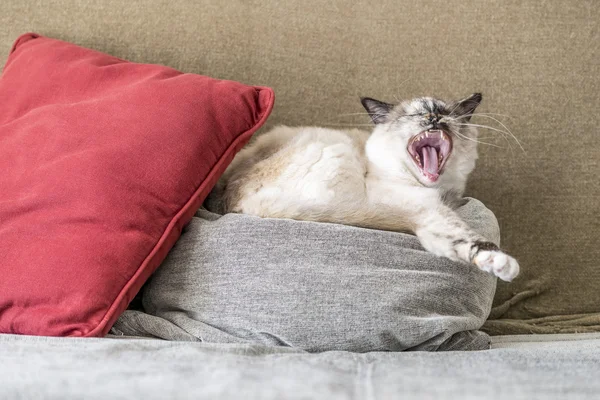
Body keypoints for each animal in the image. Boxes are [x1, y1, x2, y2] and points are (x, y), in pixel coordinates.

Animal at [206, 94, 520, 282]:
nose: (433, 119)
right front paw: (505, 266)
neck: (441, 192)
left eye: (444, 112)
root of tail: (234, 203)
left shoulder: (432, 216)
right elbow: (471, 238)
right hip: (337, 158)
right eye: (413, 116)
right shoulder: (427, 209)